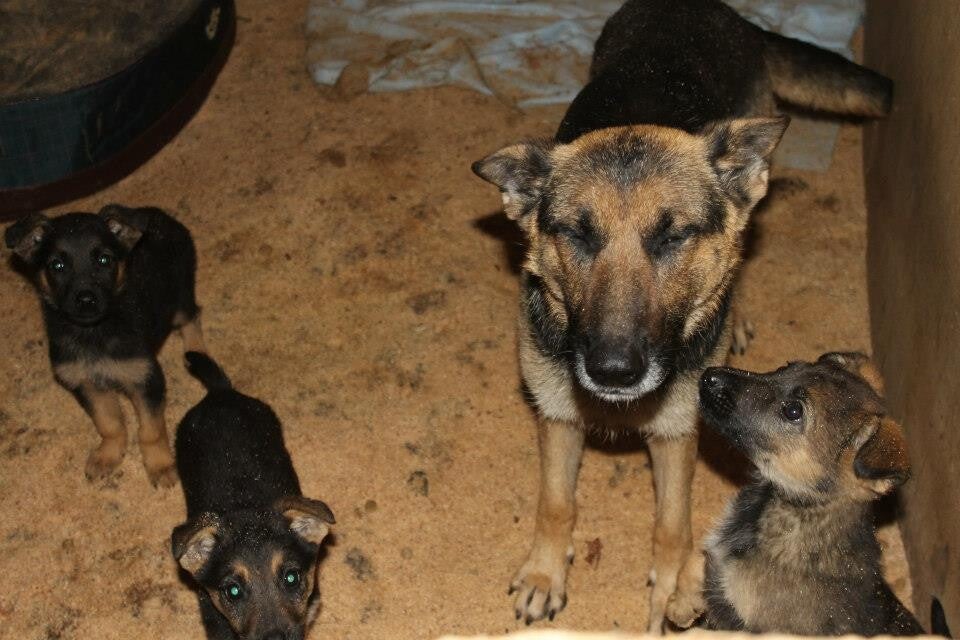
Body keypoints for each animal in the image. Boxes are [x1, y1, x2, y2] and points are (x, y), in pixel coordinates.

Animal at [4, 204, 205, 487]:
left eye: (104, 260)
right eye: (57, 265)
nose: (86, 299)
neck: (93, 333)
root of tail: (157, 213)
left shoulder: (146, 379)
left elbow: (151, 431)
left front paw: (161, 465)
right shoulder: (87, 384)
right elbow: (109, 424)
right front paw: (109, 455)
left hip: (179, 297)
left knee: (192, 317)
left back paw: (197, 351)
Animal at [471, 0, 893, 630]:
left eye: (674, 237)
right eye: (577, 234)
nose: (613, 370)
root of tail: (709, 8)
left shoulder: (676, 432)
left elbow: (672, 524)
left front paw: (673, 588)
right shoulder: (557, 417)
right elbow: (556, 502)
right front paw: (545, 572)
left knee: (741, 250)